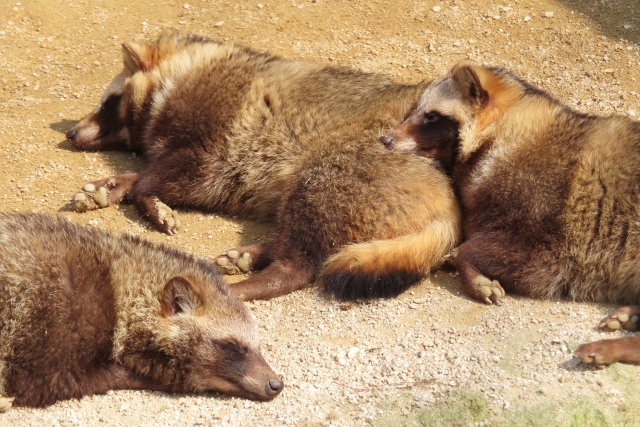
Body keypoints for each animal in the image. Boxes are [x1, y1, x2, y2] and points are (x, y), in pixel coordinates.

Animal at [66, 32, 460, 300]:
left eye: (108, 101)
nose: (71, 132)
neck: (184, 71)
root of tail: (446, 205)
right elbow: (150, 172)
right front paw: (117, 183)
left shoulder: (219, 142)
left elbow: (175, 176)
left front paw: (144, 195)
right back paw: (260, 252)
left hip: (343, 168)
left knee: (303, 251)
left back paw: (264, 276)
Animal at [380, 61, 640, 364]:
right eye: (416, 112)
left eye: (432, 117)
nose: (385, 139)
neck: (502, 129)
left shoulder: (548, 227)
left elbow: (510, 257)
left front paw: (467, 265)